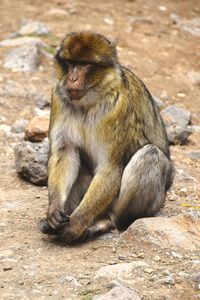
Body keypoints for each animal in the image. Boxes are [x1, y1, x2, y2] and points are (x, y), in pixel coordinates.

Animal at [39, 31, 173, 243]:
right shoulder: (58, 95)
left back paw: (107, 221)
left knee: (150, 155)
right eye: (70, 63)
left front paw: (74, 226)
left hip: (152, 204)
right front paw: (53, 211)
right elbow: (65, 152)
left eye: (85, 64)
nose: (72, 78)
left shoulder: (118, 108)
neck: (90, 100)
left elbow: (110, 168)